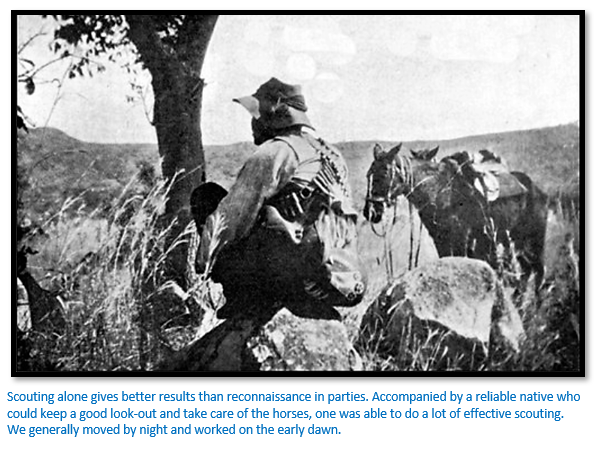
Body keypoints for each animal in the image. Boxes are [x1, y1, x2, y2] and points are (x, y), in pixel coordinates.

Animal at [360, 143, 548, 294]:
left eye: (384, 173)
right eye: (368, 174)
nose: (370, 212)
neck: (441, 191)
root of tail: (537, 189)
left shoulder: (461, 237)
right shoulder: (440, 238)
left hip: (533, 241)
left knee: (538, 271)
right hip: (519, 241)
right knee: (527, 271)